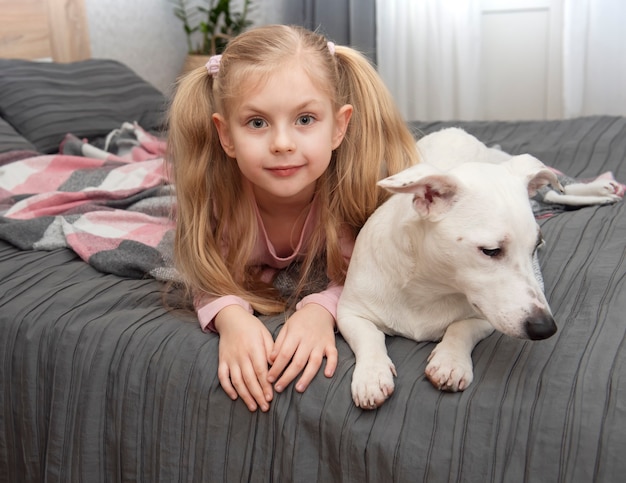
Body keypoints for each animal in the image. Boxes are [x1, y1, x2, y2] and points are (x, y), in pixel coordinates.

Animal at [338, 127, 560, 408]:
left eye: (536, 245)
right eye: (491, 251)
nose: (546, 328)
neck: (429, 286)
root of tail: (457, 131)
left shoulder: (485, 317)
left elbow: (460, 328)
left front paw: (450, 361)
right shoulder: (349, 313)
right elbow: (369, 336)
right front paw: (372, 375)